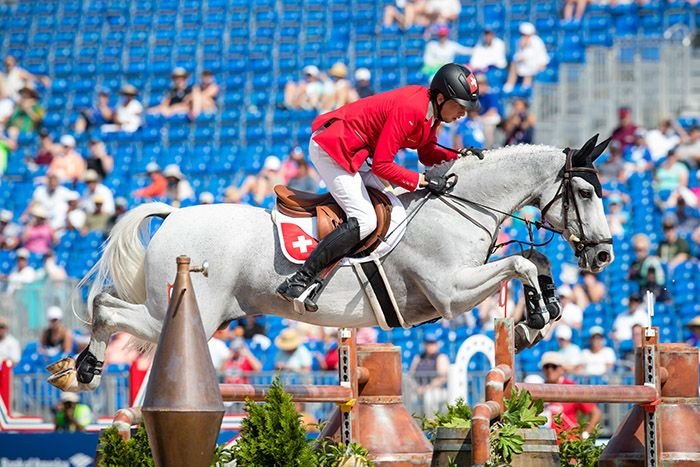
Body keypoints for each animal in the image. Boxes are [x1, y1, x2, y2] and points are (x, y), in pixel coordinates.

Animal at [48, 135, 613, 392]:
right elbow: (521, 265)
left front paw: (542, 315)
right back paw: (82, 369)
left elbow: (535, 257)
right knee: (106, 307)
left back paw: (80, 367)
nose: (605, 253)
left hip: (211, 314)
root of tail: (173, 215)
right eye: (585, 192)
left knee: (110, 307)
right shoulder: (451, 292)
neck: (461, 205)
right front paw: (531, 320)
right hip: (192, 311)